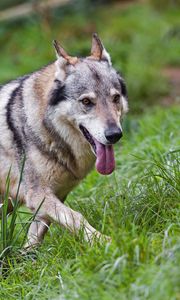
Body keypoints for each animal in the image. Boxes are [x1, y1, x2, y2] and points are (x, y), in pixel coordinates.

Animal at [0, 33, 128, 248]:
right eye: (86, 102)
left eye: (116, 98)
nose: (114, 135)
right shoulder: (38, 195)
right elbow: (76, 217)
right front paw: (104, 242)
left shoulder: (53, 198)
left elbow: (35, 238)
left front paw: (25, 256)